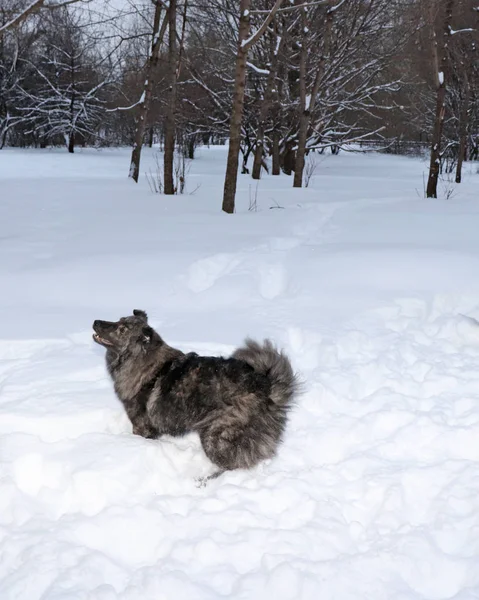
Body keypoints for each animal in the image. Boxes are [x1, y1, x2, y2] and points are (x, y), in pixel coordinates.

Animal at [93, 310, 300, 482]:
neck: (144, 363)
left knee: (235, 464)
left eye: (122, 329)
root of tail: (265, 387)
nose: (95, 321)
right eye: (119, 320)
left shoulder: (142, 426)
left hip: (216, 435)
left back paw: (205, 480)